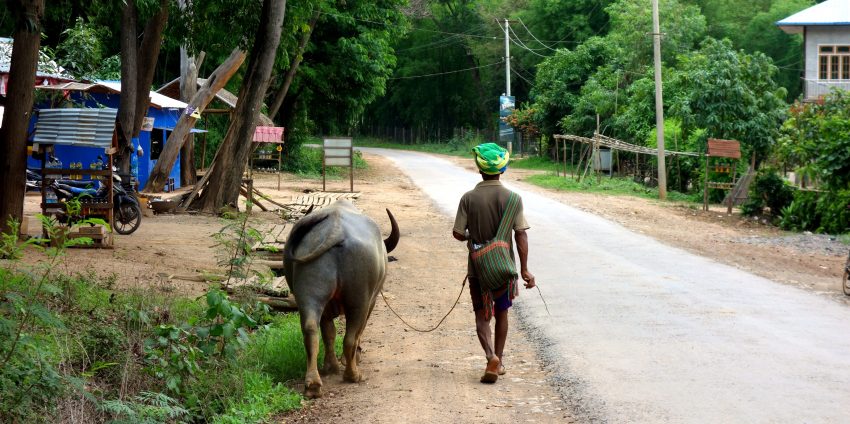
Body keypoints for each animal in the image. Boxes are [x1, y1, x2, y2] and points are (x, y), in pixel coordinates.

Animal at [284, 200, 400, 398]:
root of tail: (335, 228)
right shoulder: (371, 302)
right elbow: (356, 332)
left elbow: (329, 333)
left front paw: (331, 366)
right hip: (359, 299)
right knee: (351, 337)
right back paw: (353, 374)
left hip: (310, 291)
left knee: (310, 329)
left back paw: (314, 383)